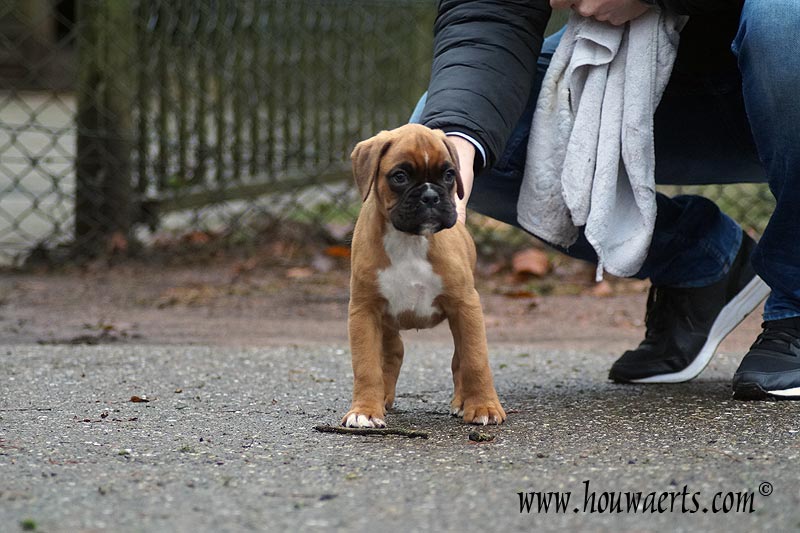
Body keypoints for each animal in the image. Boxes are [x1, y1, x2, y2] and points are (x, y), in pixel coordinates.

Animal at [342, 122, 506, 426]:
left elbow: (475, 360)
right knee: (393, 352)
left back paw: (462, 401)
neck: (409, 240)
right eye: (400, 176)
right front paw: (365, 410)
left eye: (449, 174)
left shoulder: (466, 307)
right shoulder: (364, 311)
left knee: (459, 359)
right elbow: (366, 365)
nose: (431, 196)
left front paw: (484, 406)